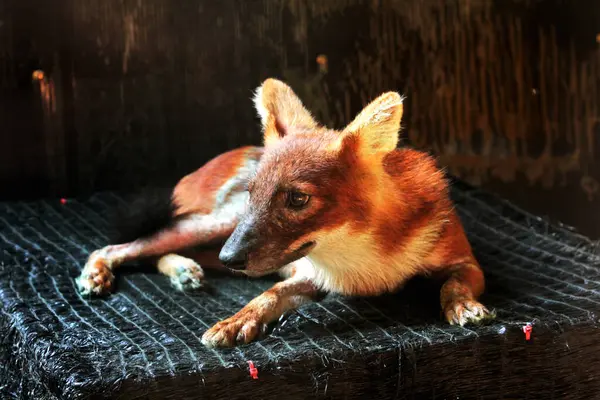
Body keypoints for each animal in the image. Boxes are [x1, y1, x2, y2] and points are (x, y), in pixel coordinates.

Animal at [76, 78, 492, 346]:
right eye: (253, 193)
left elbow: (453, 284)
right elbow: (269, 295)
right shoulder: (310, 275)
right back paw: (102, 273)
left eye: (297, 199)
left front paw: (464, 306)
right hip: (216, 227)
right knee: (120, 247)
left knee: (157, 250)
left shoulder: (465, 262)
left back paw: (183, 270)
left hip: (216, 240)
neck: (366, 261)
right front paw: (237, 321)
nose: (231, 258)